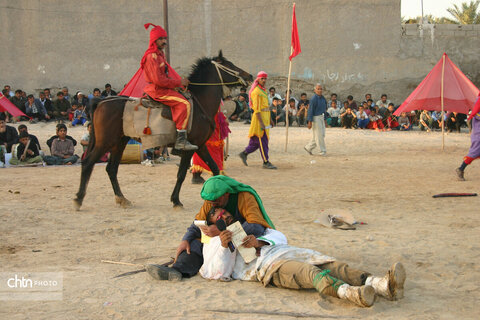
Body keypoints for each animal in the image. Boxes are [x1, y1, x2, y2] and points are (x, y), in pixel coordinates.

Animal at [73, 51, 253, 209]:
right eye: (229, 65)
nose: (249, 76)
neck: (200, 103)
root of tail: (101, 102)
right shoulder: (189, 148)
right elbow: (181, 174)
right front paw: (176, 200)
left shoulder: (200, 146)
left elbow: (215, 169)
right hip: (105, 142)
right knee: (88, 163)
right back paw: (79, 199)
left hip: (119, 142)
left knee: (111, 169)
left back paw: (122, 198)